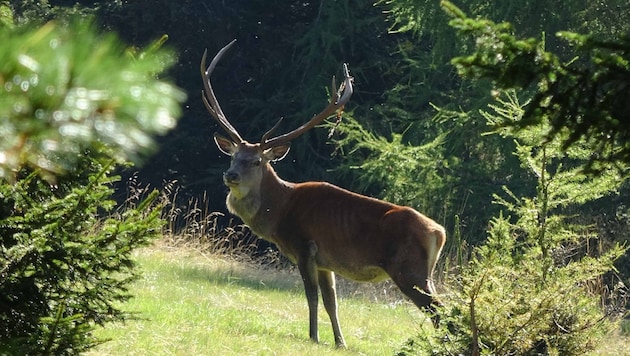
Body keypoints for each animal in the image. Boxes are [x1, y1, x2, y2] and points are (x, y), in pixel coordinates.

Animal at [201, 39, 444, 348]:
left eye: (256, 161)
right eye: (232, 156)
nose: (230, 175)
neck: (279, 213)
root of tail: (439, 232)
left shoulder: (305, 246)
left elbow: (312, 297)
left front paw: (313, 336)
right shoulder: (326, 261)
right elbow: (332, 301)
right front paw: (340, 341)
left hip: (408, 269)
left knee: (439, 310)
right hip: (424, 273)